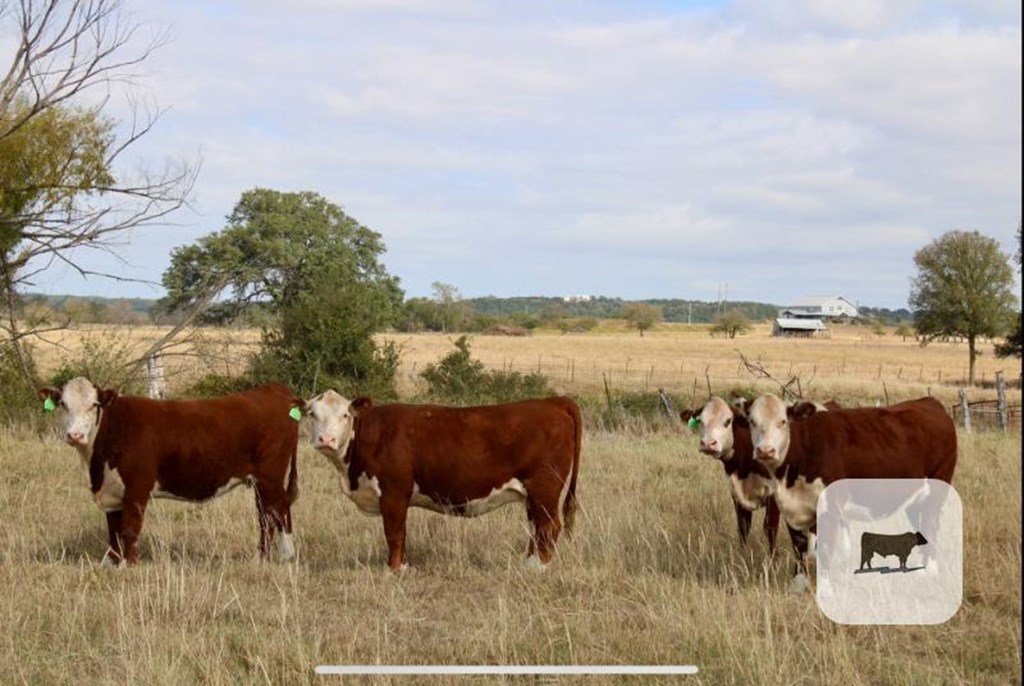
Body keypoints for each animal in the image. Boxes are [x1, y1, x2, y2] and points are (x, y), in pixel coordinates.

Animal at [37, 378, 301, 565]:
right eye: (63, 404)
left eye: (94, 405)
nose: (75, 435)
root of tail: (274, 390)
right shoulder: (112, 493)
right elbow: (113, 533)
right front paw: (113, 563)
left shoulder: (138, 487)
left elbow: (129, 529)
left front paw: (128, 565)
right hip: (259, 481)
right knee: (266, 517)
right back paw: (261, 558)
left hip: (270, 476)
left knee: (280, 510)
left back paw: (287, 556)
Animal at [301, 393, 585, 573]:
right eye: (311, 414)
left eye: (345, 414)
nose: (326, 440)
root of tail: (553, 402)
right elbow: (399, 532)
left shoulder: (394, 491)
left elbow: (394, 532)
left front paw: (396, 569)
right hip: (534, 494)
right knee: (536, 527)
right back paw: (528, 562)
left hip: (545, 488)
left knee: (549, 526)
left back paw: (538, 567)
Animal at [741, 395, 954, 593]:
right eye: (752, 421)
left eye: (783, 421)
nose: (765, 450)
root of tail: (929, 401)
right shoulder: (791, 508)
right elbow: (798, 547)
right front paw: (798, 585)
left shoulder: (829, 508)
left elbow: (824, 548)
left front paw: (825, 590)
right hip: (914, 500)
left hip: (937, 490)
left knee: (931, 526)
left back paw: (929, 571)